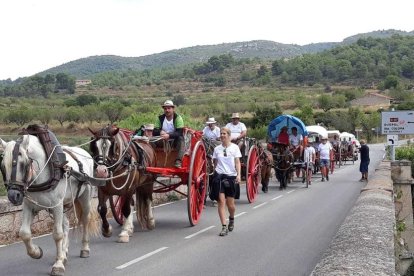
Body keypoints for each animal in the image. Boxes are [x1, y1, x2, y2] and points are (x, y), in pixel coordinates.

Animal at [0, 135, 100, 276]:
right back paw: (64, 253)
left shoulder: (57, 206)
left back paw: (84, 249)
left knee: (85, 220)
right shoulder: (30, 207)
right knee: (66, 224)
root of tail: (85, 154)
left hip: (84, 197)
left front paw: (58, 265)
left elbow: (57, 234)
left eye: (23, 163)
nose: (14, 196)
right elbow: (24, 233)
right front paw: (36, 252)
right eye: (3, 166)